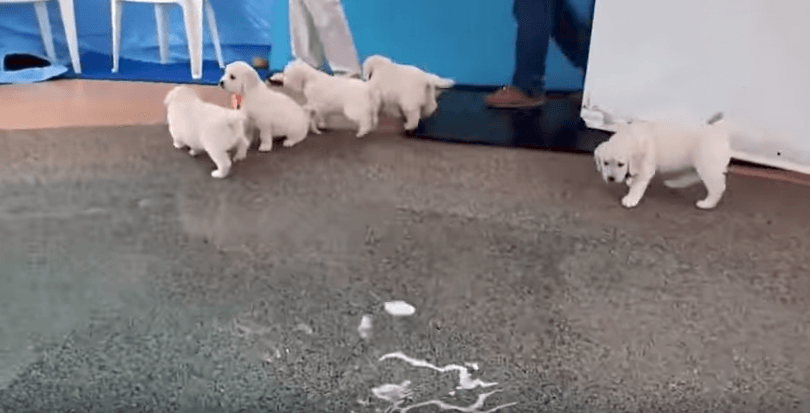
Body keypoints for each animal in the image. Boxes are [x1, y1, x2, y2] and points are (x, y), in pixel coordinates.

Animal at [592, 112, 728, 209]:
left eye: (621, 164)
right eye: (605, 163)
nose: (611, 178)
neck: (630, 137)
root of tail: (720, 133)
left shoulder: (645, 165)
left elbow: (638, 184)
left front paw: (631, 198)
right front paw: (631, 180)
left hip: (707, 165)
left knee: (718, 186)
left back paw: (707, 203)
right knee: (695, 176)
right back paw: (676, 183)